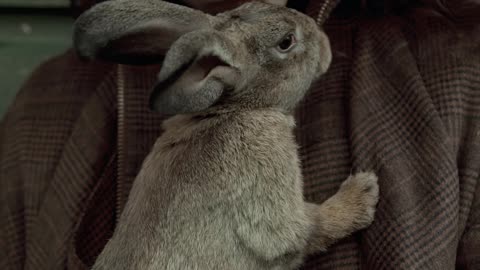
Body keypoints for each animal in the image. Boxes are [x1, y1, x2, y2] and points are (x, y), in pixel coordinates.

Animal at [73, 1, 378, 268]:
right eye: (286, 41)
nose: (325, 42)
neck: (231, 109)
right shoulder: (274, 213)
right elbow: (311, 228)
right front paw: (362, 194)